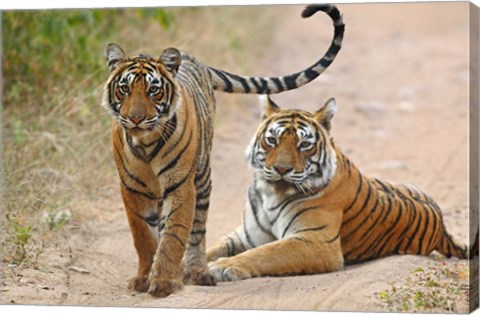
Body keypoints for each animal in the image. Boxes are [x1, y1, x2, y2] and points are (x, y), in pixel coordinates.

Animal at [207, 96, 468, 282]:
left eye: (304, 144)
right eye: (272, 140)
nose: (281, 169)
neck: (271, 194)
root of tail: (442, 225)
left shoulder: (316, 241)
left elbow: (266, 253)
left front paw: (223, 266)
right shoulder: (244, 235)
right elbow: (211, 248)